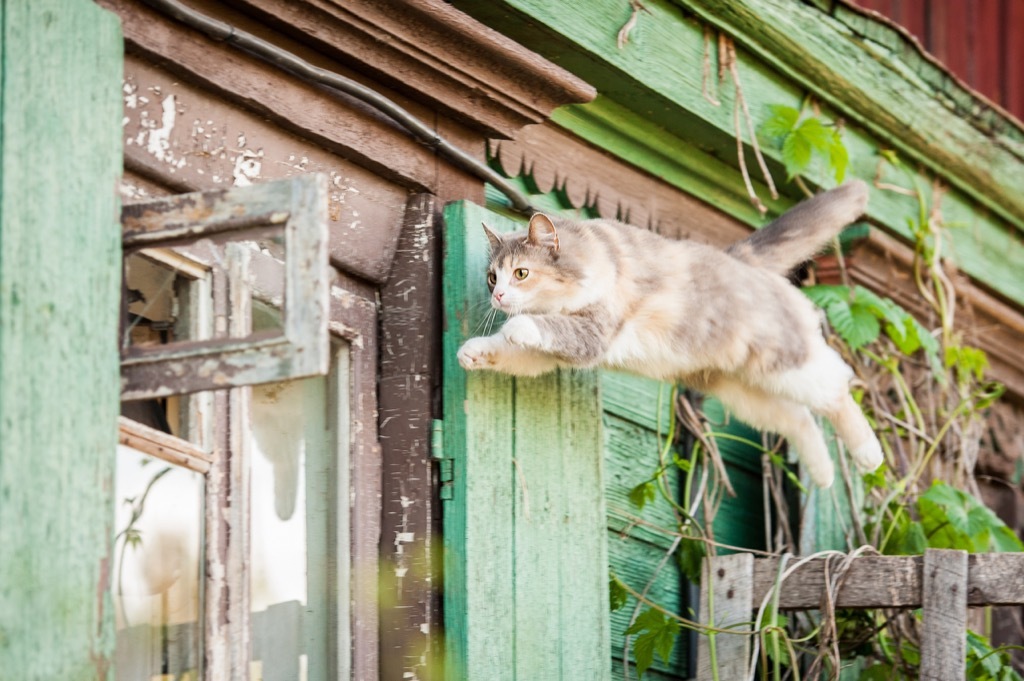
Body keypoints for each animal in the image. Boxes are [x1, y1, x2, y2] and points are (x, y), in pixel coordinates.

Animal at [456, 179, 880, 489]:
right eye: (492, 276)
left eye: (521, 273)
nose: (497, 295)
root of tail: (741, 259)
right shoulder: (549, 354)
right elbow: (508, 350)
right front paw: (473, 351)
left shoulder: (591, 333)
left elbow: (540, 326)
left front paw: (516, 326)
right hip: (743, 390)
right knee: (798, 419)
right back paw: (824, 475)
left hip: (785, 362)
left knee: (838, 388)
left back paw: (868, 454)